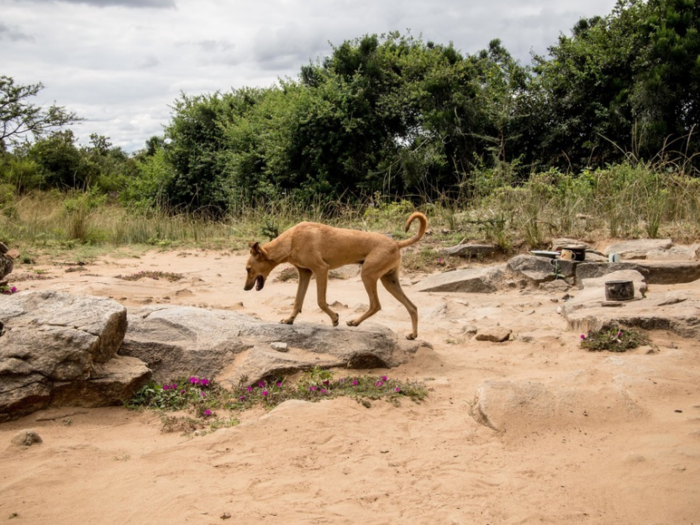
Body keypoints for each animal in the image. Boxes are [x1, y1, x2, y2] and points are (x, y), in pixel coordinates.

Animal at [243, 212, 430, 340]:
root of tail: (396, 243)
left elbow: (320, 301)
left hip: (368, 275)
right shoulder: (305, 273)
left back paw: (354, 322)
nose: (245, 288)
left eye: (248, 269)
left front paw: (334, 318)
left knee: (375, 305)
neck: (291, 240)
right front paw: (289, 320)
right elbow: (297, 301)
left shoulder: (321, 270)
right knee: (412, 307)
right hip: (389, 281)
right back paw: (413, 334)